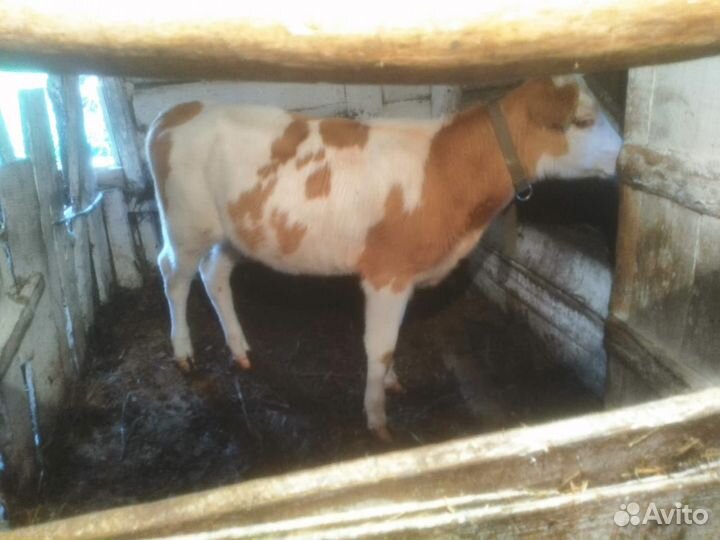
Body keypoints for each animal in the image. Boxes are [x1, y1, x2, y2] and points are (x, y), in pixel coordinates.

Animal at [146, 76, 622, 440]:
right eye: (583, 121)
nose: (625, 156)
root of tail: (178, 110)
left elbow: (390, 348)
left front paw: (392, 385)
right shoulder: (386, 273)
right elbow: (380, 346)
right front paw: (377, 421)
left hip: (234, 233)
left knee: (214, 274)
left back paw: (240, 349)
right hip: (185, 225)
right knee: (173, 275)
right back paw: (184, 353)